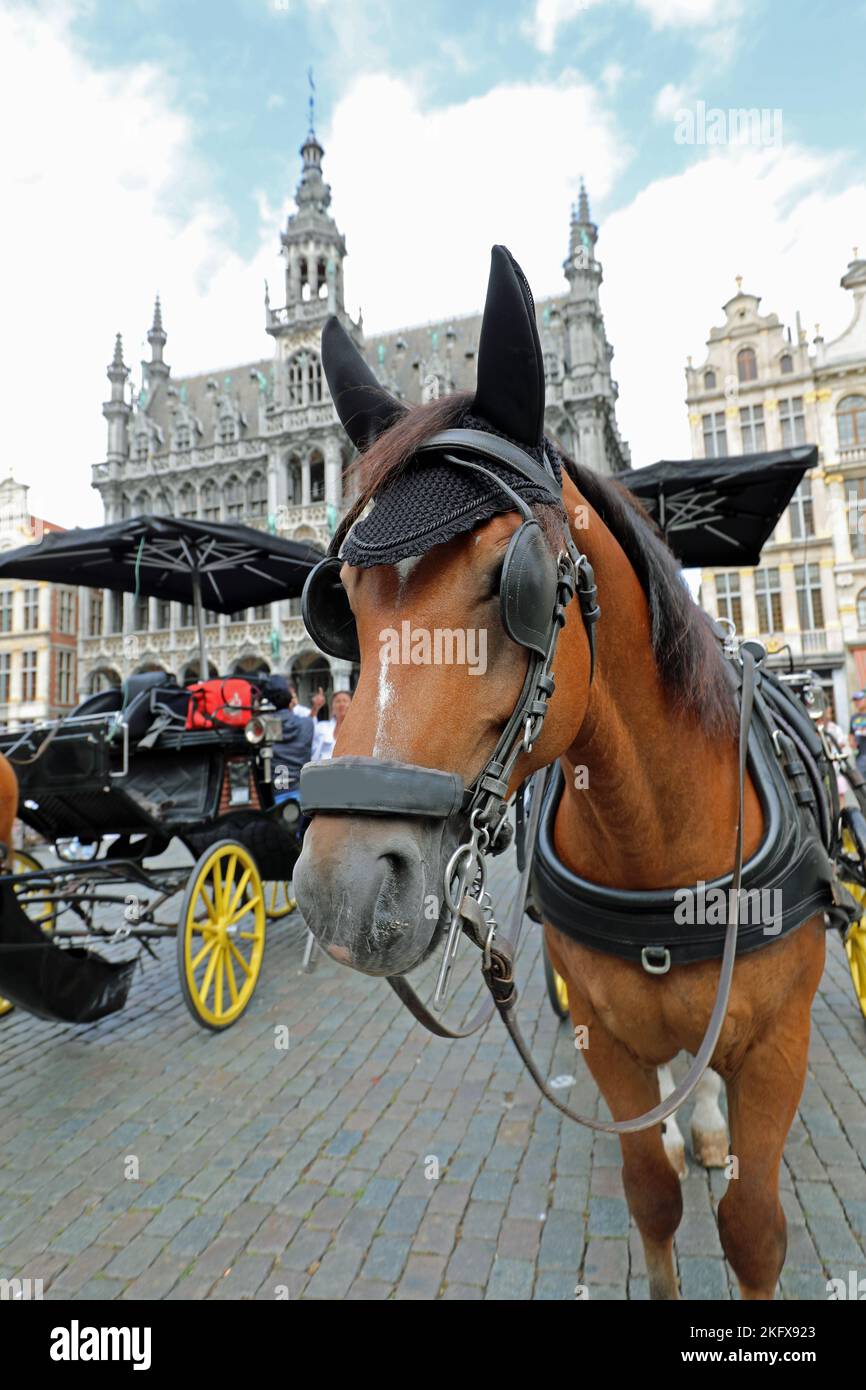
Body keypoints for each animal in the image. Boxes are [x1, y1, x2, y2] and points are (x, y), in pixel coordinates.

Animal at [296, 250, 828, 1301]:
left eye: (521, 580)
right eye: (337, 599)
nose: (341, 891)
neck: (656, 841)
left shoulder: (778, 1047)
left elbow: (753, 1229)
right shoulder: (607, 1041)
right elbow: (650, 1194)